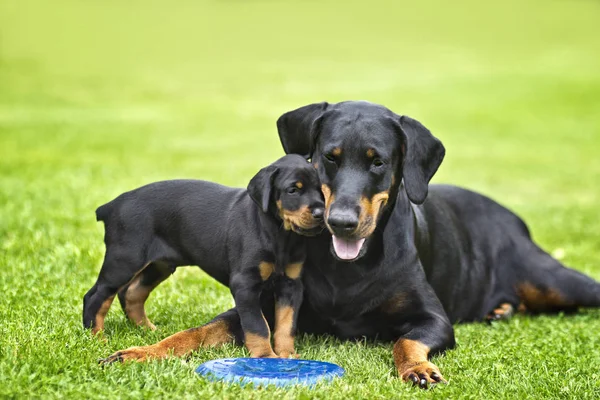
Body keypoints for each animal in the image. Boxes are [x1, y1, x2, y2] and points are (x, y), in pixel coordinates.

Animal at [84, 155, 324, 358]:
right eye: (293, 190)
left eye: (322, 190)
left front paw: (287, 354)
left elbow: (286, 323)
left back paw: (148, 329)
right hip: (125, 259)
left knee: (132, 293)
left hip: (159, 265)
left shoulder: (291, 284)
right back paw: (96, 338)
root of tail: (111, 206)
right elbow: (257, 325)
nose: (321, 213)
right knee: (96, 296)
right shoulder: (245, 284)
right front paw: (265, 356)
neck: (280, 234)